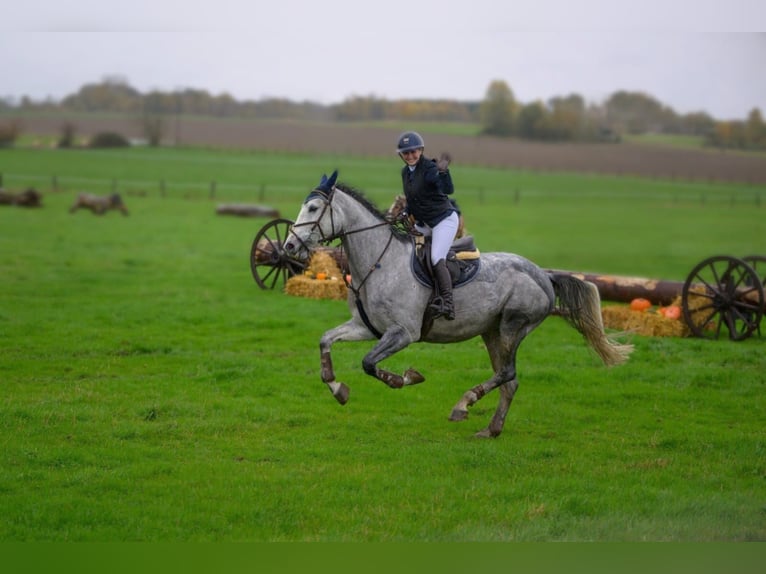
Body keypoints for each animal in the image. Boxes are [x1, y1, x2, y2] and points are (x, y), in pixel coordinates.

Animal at [283, 171, 633, 438]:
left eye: (313, 208)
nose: (288, 246)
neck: (378, 262)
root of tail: (543, 274)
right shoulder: (366, 328)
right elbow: (326, 340)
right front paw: (337, 389)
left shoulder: (403, 333)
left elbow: (369, 363)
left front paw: (406, 378)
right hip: (492, 332)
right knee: (509, 380)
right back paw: (491, 429)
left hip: (513, 325)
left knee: (506, 373)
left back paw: (463, 405)